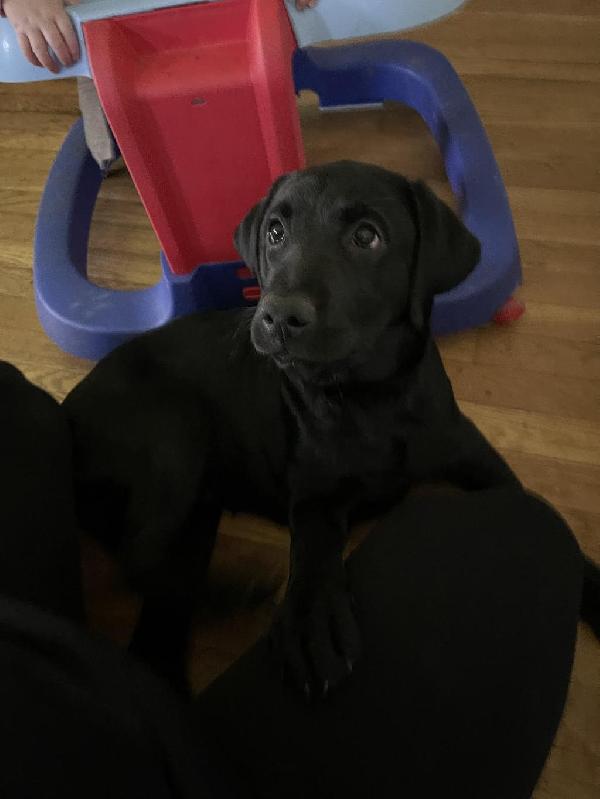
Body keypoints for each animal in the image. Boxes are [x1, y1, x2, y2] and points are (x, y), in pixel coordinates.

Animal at [64, 161, 600, 692]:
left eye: (366, 236)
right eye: (275, 232)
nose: (278, 316)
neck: (371, 397)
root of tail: (67, 409)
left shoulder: (474, 453)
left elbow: (534, 505)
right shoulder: (314, 491)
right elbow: (316, 546)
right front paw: (310, 618)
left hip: (197, 507)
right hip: (176, 426)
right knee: (137, 557)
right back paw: (236, 595)